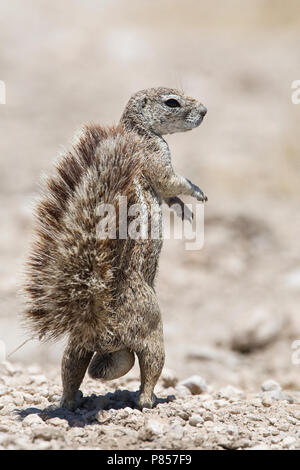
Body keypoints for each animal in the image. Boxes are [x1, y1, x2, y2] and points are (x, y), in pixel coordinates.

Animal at [23, 86, 207, 410]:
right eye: (172, 102)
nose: (205, 112)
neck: (135, 130)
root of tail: (100, 320)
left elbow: (170, 196)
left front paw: (184, 210)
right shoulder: (156, 154)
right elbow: (171, 182)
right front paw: (197, 192)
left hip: (78, 345)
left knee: (71, 368)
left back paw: (68, 401)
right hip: (152, 329)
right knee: (150, 368)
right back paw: (149, 400)